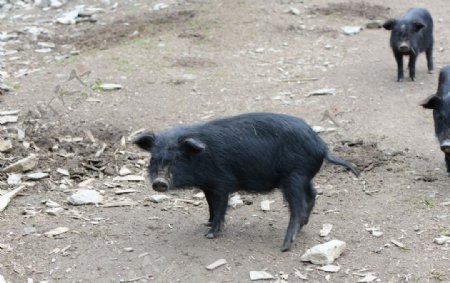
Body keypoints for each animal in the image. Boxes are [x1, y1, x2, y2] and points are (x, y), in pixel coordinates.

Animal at [134, 112, 358, 252]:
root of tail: (322, 146)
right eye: (154, 157)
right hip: (304, 177)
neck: (201, 158)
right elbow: (210, 205)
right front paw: (206, 222)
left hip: (293, 176)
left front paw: (210, 234)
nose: (159, 182)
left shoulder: (222, 183)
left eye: (177, 159)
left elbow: (220, 207)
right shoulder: (208, 185)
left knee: (298, 205)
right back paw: (302, 227)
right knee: (312, 195)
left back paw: (285, 245)